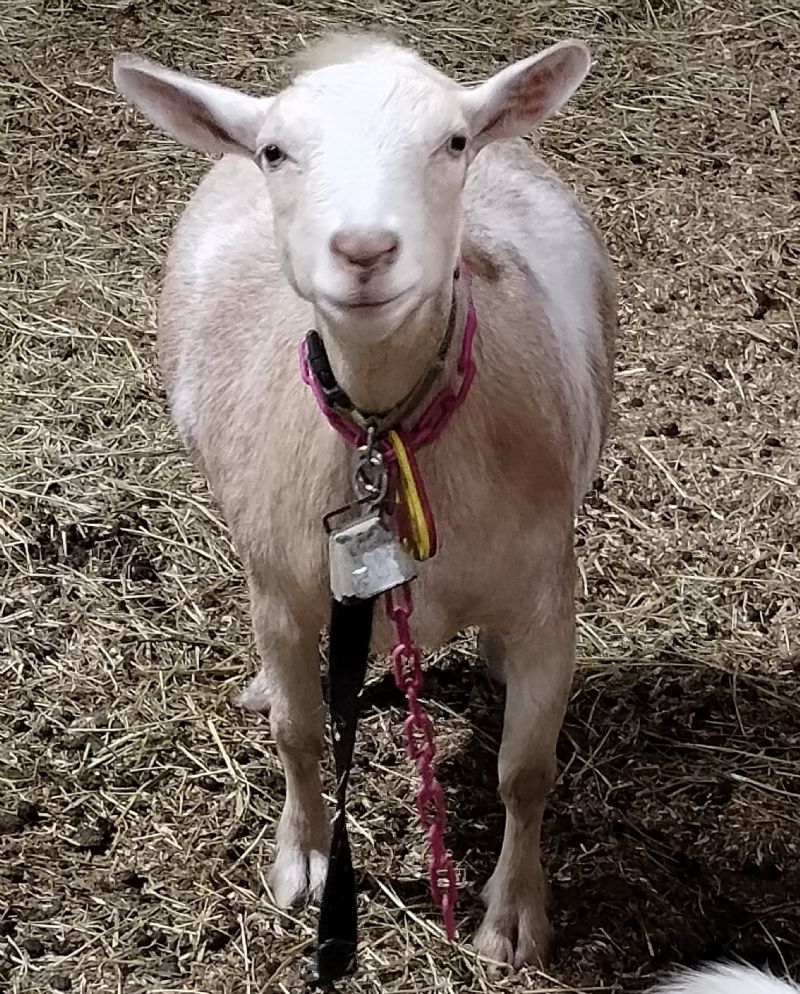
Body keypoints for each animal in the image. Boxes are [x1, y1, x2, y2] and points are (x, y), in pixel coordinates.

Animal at [109, 29, 616, 960]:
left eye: (454, 141)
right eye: (274, 152)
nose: (365, 250)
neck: (390, 432)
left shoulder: (546, 593)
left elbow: (526, 772)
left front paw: (512, 917)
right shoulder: (281, 587)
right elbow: (300, 733)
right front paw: (303, 858)